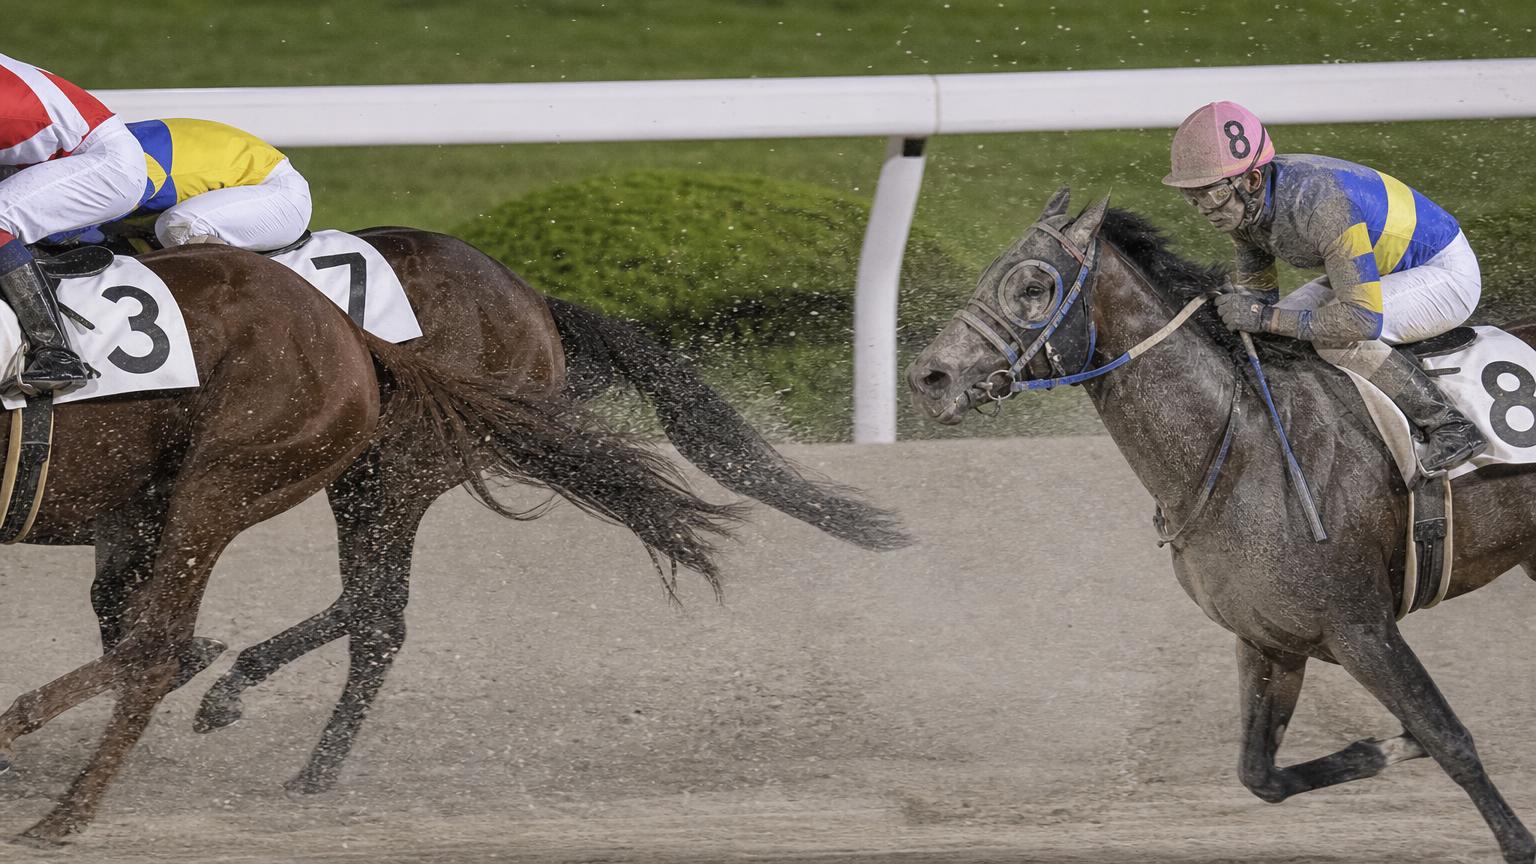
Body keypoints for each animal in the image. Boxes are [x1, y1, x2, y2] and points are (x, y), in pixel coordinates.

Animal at [83, 227, 910, 796]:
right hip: (383, 470)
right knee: (370, 599)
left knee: (381, 608)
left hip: (394, 468)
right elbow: (114, 593)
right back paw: (244, 691)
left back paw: (301, 754)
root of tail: (533, 302)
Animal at [905, 188, 1536, 864]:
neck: (1239, 448)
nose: (928, 378)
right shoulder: (1271, 639)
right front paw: (1381, 747)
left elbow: (1451, 739)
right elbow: (1260, 774)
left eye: (1032, 286)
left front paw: (1512, 836)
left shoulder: (1362, 627)